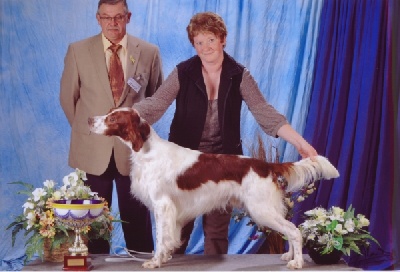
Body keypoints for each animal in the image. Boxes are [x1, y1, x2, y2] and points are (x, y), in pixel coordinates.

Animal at [87, 107, 338, 268]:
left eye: (112, 118)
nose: (89, 120)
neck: (147, 151)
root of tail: (265, 165)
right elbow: (169, 238)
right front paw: (165, 257)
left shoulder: (162, 205)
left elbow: (160, 237)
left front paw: (155, 261)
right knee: (288, 229)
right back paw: (288, 256)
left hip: (261, 209)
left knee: (294, 230)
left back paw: (297, 262)